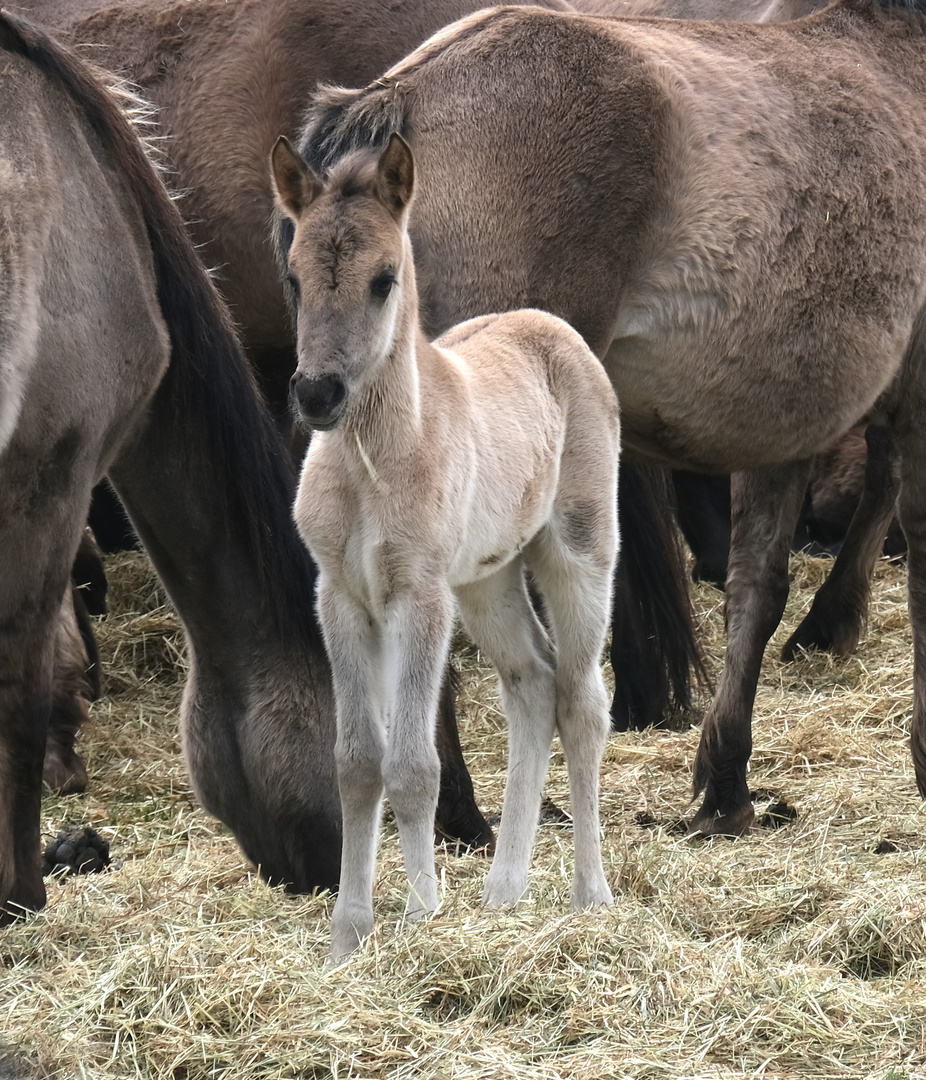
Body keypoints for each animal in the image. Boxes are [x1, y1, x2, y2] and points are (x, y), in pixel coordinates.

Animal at [274, 135, 622, 963]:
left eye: (383, 280)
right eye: (293, 278)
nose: (317, 395)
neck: (370, 460)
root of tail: (552, 326)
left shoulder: (419, 596)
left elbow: (412, 764)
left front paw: (422, 915)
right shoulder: (341, 597)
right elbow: (355, 763)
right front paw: (348, 938)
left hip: (579, 554)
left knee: (583, 701)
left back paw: (590, 896)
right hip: (487, 582)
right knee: (532, 685)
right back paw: (505, 891)